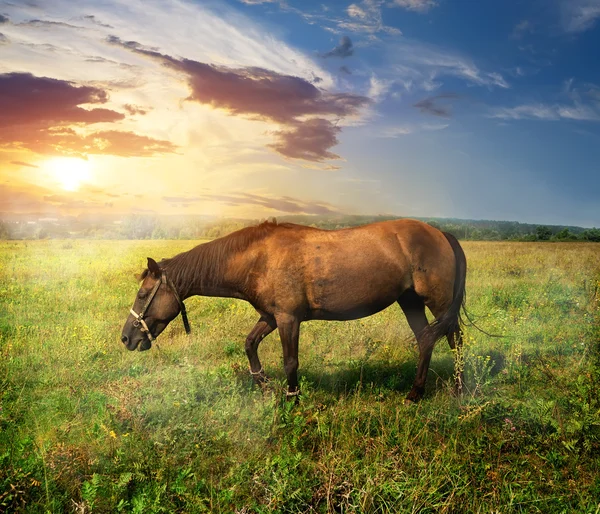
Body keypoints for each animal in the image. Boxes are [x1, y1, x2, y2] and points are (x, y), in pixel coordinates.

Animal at [122, 216, 466, 400]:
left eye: (142, 294)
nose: (126, 338)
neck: (258, 258)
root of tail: (441, 233)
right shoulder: (270, 317)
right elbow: (249, 344)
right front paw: (262, 382)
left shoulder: (288, 319)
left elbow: (290, 362)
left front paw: (292, 397)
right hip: (410, 302)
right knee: (426, 340)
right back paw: (417, 392)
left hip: (437, 302)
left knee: (455, 341)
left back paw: (457, 390)